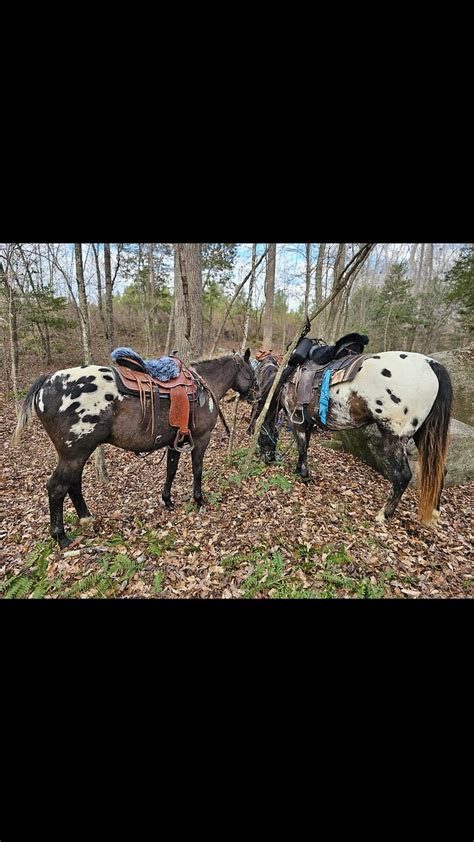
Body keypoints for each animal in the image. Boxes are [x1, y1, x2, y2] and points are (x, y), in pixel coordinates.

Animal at [13, 348, 256, 544]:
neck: (203, 385)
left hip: (77, 454)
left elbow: (171, 470)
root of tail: (46, 382)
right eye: (252, 374)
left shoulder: (175, 442)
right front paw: (199, 500)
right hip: (74, 453)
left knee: (73, 484)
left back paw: (86, 518)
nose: (257, 395)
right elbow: (197, 470)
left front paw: (167, 500)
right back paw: (61, 537)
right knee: (57, 487)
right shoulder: (201, 438)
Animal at [260, 350, 456, 524]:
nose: (266, 459)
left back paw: (384, 515)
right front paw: (299, 470)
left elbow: (301, 447)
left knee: (403, 475)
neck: (287, 383)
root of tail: (431, 364)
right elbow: (305, 446)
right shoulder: (308, 423)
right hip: (425, 435)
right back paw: (434, 513)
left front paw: (303, 476)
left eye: (262, 435)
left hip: (394, 436)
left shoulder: (297, 422)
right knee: (441, 469)